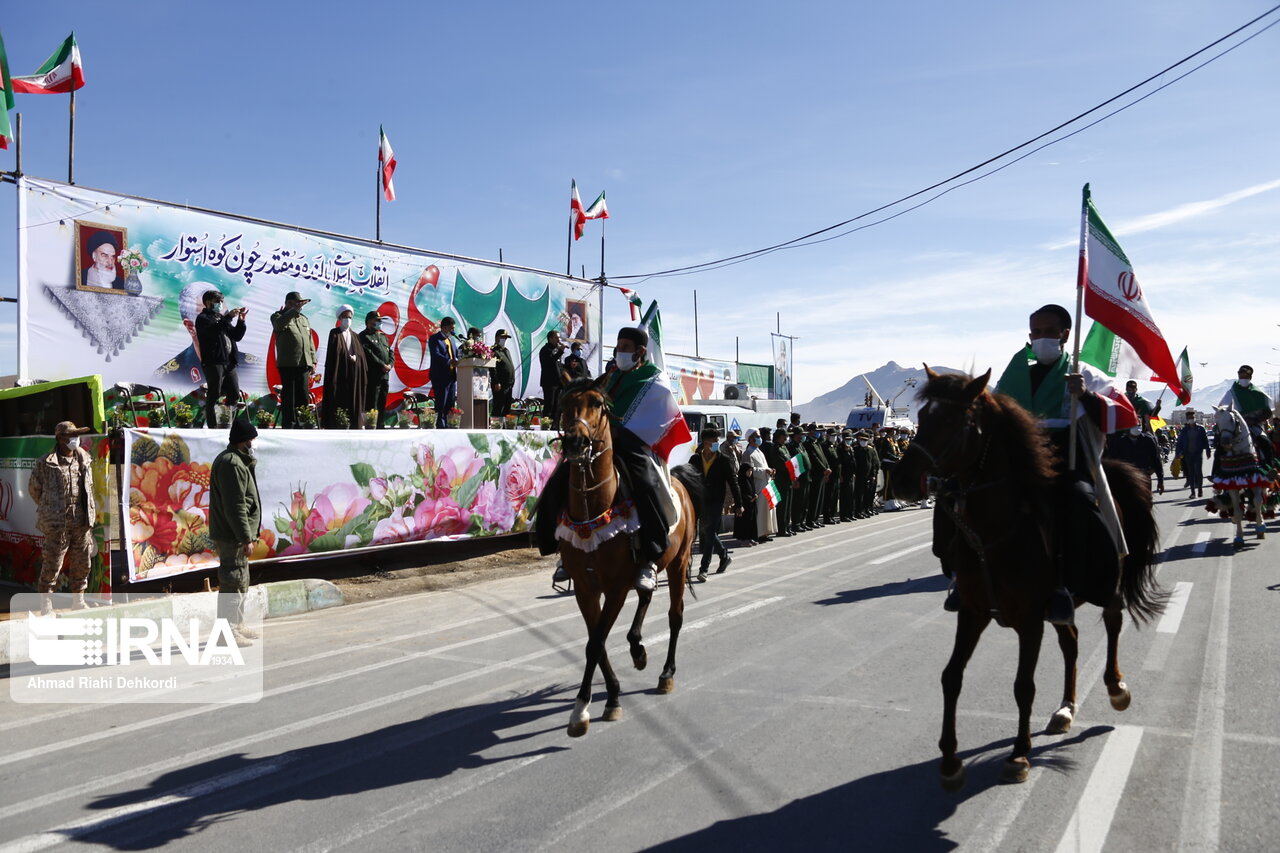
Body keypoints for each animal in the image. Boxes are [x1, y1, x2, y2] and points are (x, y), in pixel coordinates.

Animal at [555, 376, 701, 732]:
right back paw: (638, 649)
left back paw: (666, 673)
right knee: (646, 595)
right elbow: (597, 641)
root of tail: (678, 481)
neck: (593, 510)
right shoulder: (586, 588)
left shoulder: (615, 587)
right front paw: (610, 696)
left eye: (597, 403)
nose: (576, 442)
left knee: (675, 616)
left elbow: (596, 643)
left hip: (677, 563)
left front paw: (582, 709)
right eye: (564, 403)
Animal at [890, 368, 1162, 788]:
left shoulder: (1030, 620)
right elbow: (951, 676)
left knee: (1113, 620)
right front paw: (950, 760)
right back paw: (1065, 709)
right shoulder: (972, 611)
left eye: (952, 420)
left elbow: (1023, 685)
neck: (995, 531)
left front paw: (1019, 755)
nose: (902, 481)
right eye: (921, 417)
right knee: (1071, 641)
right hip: (1059, 606)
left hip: (1108, 582)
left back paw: (1116, 687)